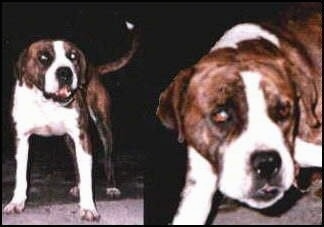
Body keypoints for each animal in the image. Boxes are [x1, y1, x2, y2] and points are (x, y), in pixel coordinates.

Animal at [4, 21, 138, 222]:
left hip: (104, 128)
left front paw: (88, 208)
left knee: (107, 158)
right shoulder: (22, 139)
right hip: (69, 140)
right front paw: (16, 202)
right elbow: (21, 175)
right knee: (75, 161)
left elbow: (88, 176)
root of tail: (93, 69)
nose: (65, 72)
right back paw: (78, 186)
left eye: (73, 57)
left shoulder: (83, 138)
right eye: (44, 57)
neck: (47, 103)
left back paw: (112, 187)